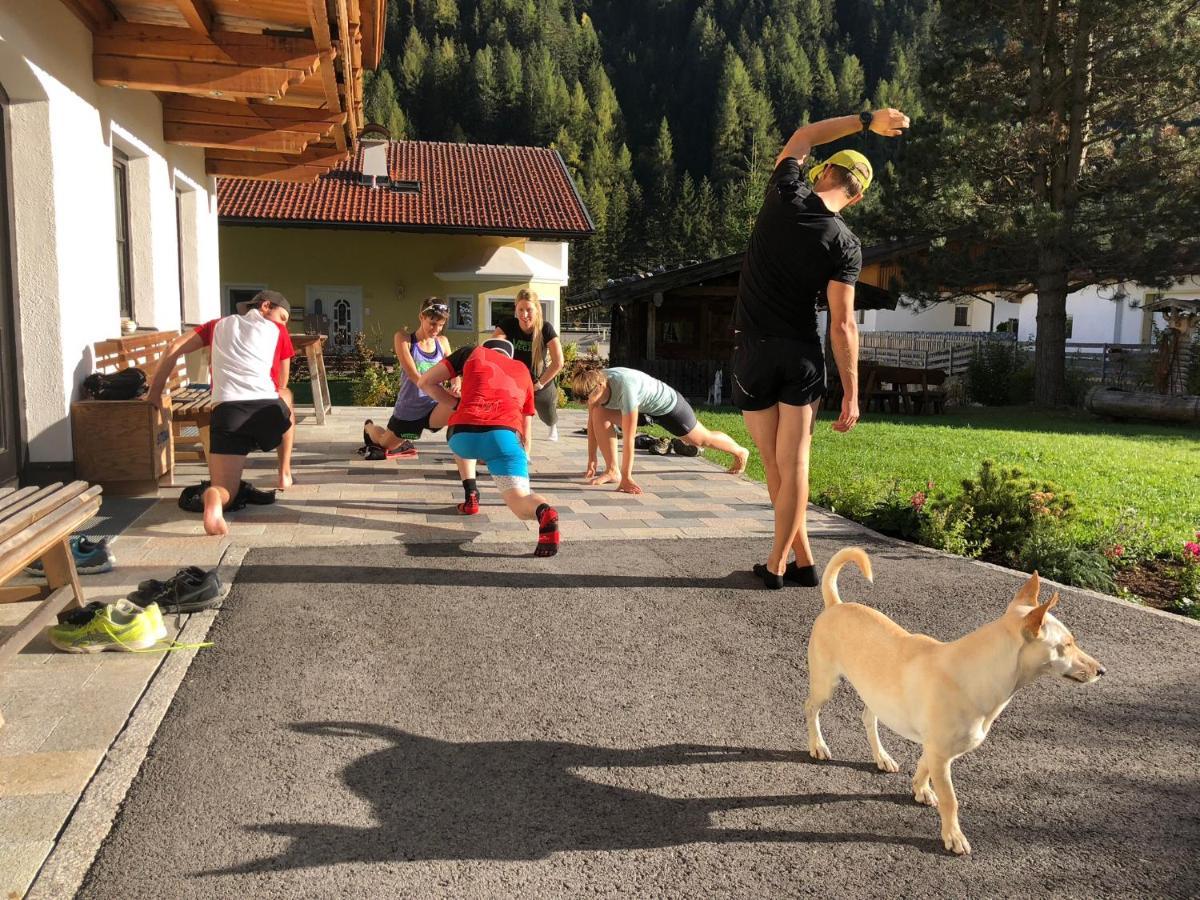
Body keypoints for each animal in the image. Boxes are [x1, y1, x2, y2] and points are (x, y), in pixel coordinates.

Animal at [806, 547, 1104, 854]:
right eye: (1067, 645)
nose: (1101, 670)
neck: (975, 673)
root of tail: (836, 605)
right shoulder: (940, 753)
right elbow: (951, 800)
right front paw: (953, 836)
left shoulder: (935, 749)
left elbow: (923, 768)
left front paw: (921, 789)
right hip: (825, 683)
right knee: (810, 710)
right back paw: (818, 745)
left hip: (877, 696)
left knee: (868, 718)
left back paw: (882, 757)